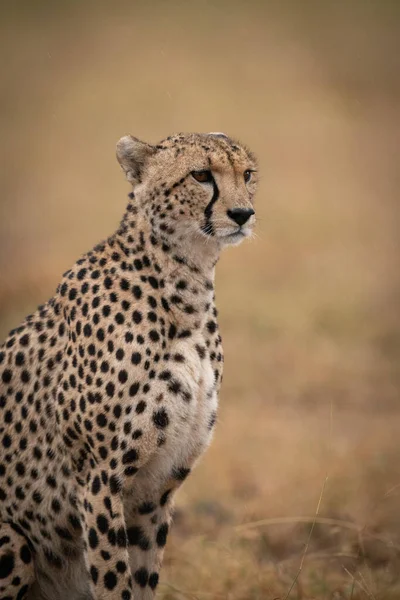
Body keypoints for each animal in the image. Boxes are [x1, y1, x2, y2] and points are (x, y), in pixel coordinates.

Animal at [0, 132, 256, 600]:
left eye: (246, 174)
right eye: (201, 174)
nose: (243, 213)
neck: (184, 288)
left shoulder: (156, 489)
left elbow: (142, 577)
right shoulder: (99, 478)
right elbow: (112, 576)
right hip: (14, 541)